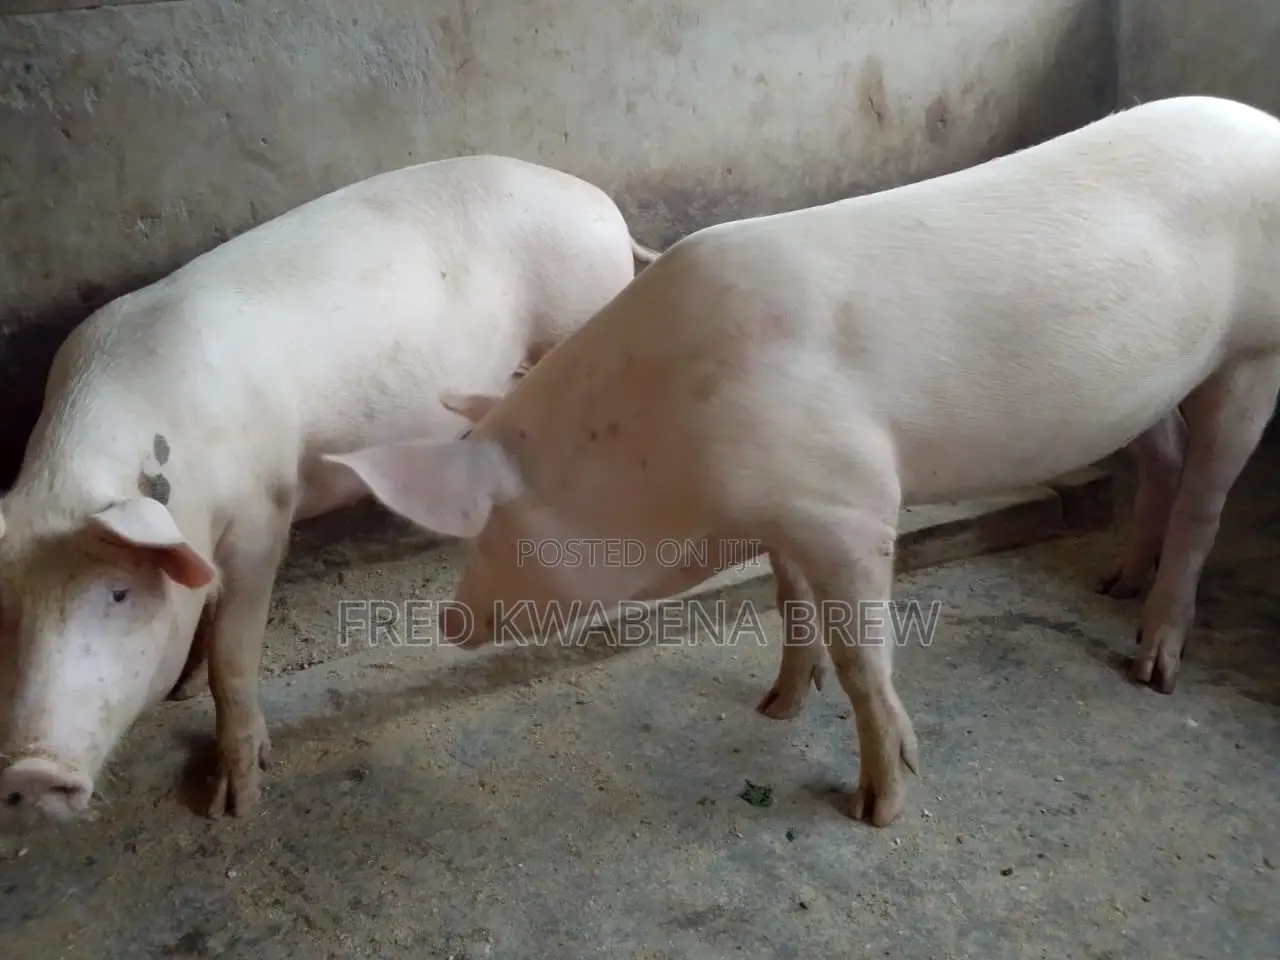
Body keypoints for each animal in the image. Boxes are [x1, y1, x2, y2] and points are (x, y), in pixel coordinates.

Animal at [0, 154, 660, 822]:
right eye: (5, 610)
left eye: (117, 593)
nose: (29, 771)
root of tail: (601, 204)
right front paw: (182, 689)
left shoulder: (265, 507)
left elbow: (235, 652)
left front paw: (235, 803)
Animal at [324, 95, 1280, 828]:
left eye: (485, 531)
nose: (449, 623)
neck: (668, 441)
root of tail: (1260, 121)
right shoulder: (782, 513)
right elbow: (790, 605)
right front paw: (776, 705)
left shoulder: (851, 502)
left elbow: (866, 658)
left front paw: (878, 806)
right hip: (1142, 388)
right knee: (1163, 456)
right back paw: (1114, 582)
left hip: (1253, 356)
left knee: (1205, 499)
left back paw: (1152, 666)